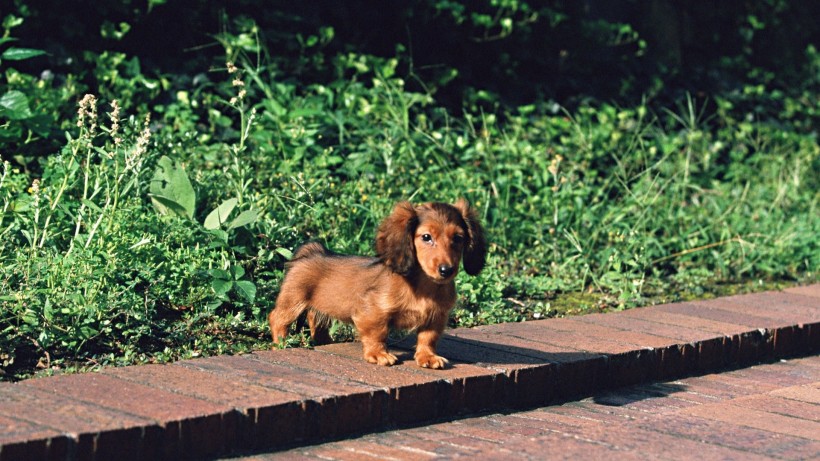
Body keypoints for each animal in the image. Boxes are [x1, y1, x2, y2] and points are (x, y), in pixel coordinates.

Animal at [270, 199, 486, 368]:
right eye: (426, 237)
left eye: (458, 238)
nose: (446, 270)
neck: (423, 286)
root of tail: (311, 252)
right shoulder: (373, 311)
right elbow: (377, 334)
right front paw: (378, 354)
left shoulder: (436, 317)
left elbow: (428, 338)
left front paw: (428, 357)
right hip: (293, 301)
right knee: (277, 319)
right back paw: (281, 343)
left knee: (316, 322)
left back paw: (324, 342)